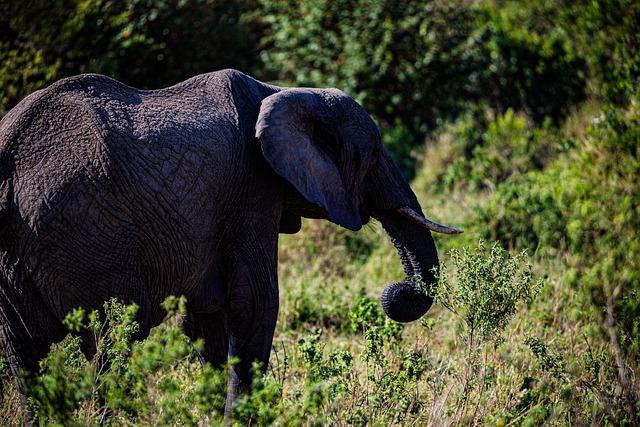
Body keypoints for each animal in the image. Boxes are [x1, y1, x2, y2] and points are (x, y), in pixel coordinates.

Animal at [0, 68, 462, 420]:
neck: (282, 91)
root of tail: (8, 166)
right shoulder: (252, 191)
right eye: (375, 153)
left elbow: (208, 318)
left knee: (25, 357)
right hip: (90, 240)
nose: (394, 293)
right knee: (113, 340)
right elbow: (255, 304)